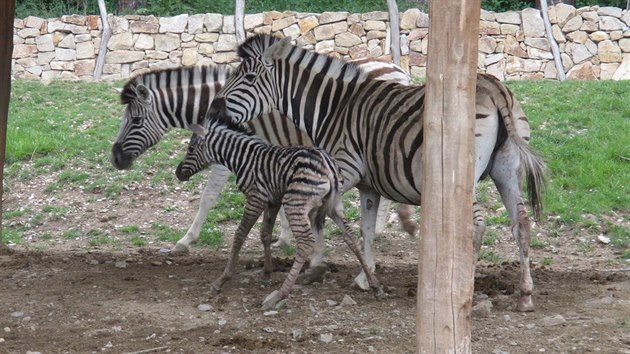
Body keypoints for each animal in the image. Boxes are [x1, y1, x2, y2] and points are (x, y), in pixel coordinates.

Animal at [110, 60, 412, 262]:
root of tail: (396, 67)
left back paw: (381, 227)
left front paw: (186, 240)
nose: (115, 158)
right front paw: (284, 237)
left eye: (136, 121)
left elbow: (208, 197)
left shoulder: (232, 150)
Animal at [174, 120, 386, 308]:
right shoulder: (273, 201)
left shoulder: (256, 198)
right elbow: (265, 234)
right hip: (334, 205)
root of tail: (329, 167)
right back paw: (375, 286)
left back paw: (279, 294)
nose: (177, 173)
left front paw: (222, 280)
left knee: (305, 241)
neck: (243, 158)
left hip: (294, 202)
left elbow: (240, 235)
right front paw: (267, 272)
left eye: (191, 148)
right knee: (350, 236)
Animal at [210, 32, 544, 310]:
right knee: (521, 224)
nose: (214, 108)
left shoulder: (342, 170)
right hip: (506, 172)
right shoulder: (367, 184)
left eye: (248, 77)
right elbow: (365, 227)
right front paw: (364, 276)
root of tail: (494, 87)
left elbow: (319, 217)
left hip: (462, 176)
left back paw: (466, 286)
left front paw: (317, 264)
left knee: (476, 225)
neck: (333, 108)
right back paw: (525, 294)